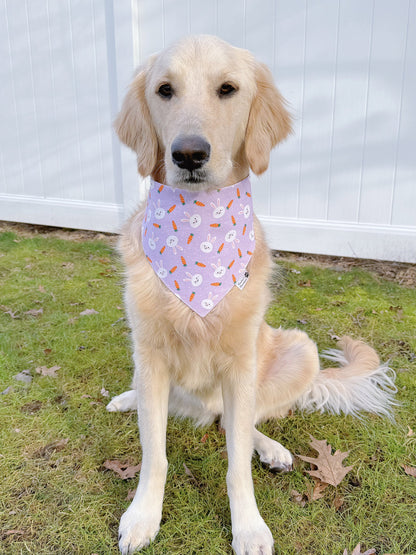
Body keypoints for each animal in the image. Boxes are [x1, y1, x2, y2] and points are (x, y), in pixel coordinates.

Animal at [105, 34, 394, 555]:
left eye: (228, 89)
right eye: (164, 90)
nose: (189, 154)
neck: (198, 230)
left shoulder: (241, 364)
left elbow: (236, 460)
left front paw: (249, 527)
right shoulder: (151, 354)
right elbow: (155, 453)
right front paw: (142, 516)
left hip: (298, 349)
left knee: (237, 423)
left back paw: (272, 448)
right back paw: (127, 399)